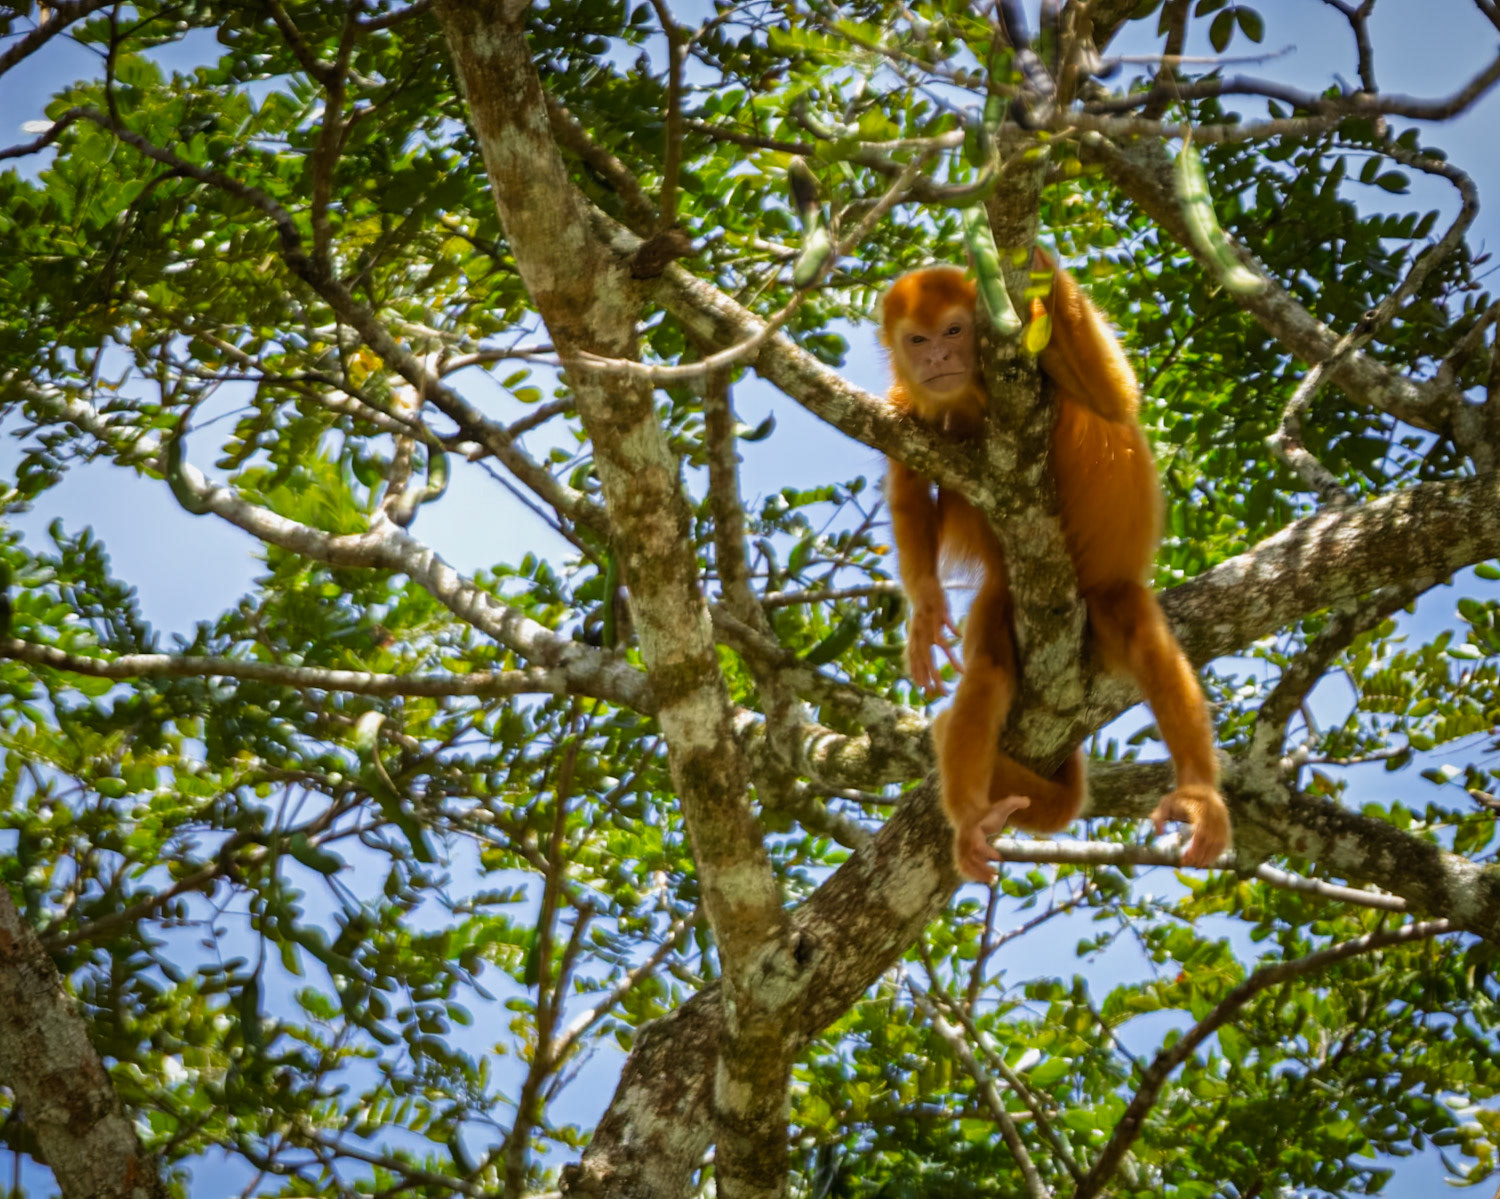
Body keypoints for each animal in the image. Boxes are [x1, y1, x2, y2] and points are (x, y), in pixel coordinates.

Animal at [882, 256, 1231, 882]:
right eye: (918, 340)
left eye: (954, 331)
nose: (938, 359)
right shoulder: (904, 394)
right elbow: (908, 481)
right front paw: (924, 608)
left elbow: (1116, 398)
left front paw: (1035, 264)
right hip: (1004, 601)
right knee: (989, 673)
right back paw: (971, 818)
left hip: (1108, 598)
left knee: (1145, 640)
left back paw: (1198, 792)